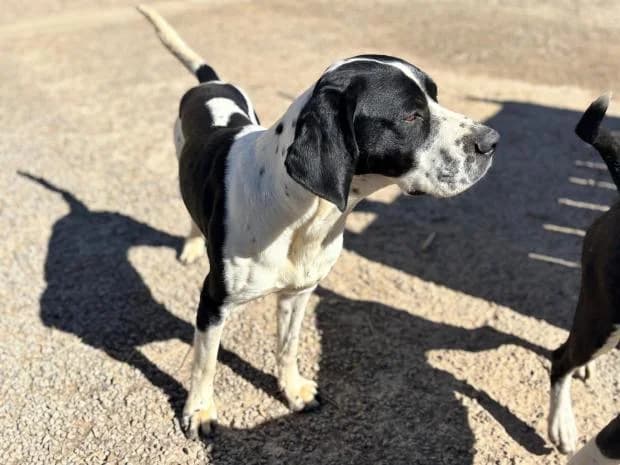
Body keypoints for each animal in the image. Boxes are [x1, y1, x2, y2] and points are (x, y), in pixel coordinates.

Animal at [137, 5, 500, 439]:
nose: (493, 140)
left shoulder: (299, 293)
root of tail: (211, 83)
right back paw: (193, 245)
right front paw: (200, 410)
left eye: (436, 96)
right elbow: (204, 364)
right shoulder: (213, 302)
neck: (299, 213)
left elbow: (287, 347)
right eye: (412, 115)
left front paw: (292, 391)